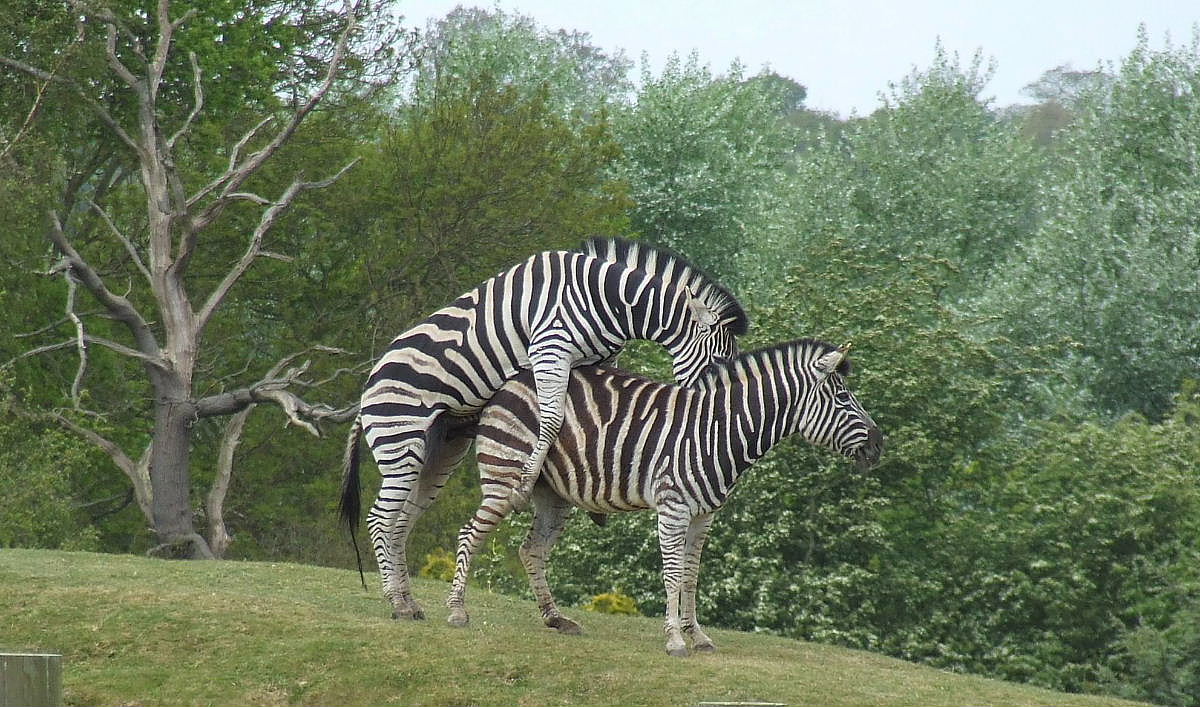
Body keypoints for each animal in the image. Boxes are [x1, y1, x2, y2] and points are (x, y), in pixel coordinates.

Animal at [339, 238, 748, 620]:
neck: (609, 299)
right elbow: (552, 420)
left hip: (440, 451)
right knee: (380, 519)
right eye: (718, 362)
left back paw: (409, 602)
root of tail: (366, 390)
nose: (716, 408)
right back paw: (396, 602)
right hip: (401, 440)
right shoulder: (550, 350)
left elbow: (602, 411)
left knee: (401, 520)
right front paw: (525, 481)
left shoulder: (598, 360)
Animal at [449, 338, 883, 656]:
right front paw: (675, 639)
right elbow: (673, 574)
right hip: (506, 475)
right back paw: (456, 611)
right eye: (843, 398)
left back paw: (556, 619)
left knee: (531, 551)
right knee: (470, 534)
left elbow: (691, 575)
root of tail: (510, 381)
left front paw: (699, 636)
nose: (879, 445)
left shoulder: (704, 515)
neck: (718, 430)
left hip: (552, 494)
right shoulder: (674, 507)